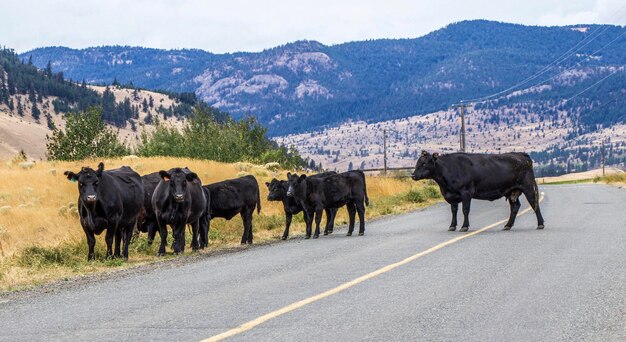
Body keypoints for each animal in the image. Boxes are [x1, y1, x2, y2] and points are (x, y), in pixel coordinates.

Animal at [410, 151, 540, 231]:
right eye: (417, 163)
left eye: (425, 163)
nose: (413, 175)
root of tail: (521, 154)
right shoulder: (452, 195)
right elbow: (454, 211)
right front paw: (452, 226)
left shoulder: (466, 192)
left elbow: (465, 210)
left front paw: (464, 226)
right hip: (512, 191)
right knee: (515, 207)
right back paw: (507, 225)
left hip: (528, 187)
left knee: (534, 203)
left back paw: (540, 224)